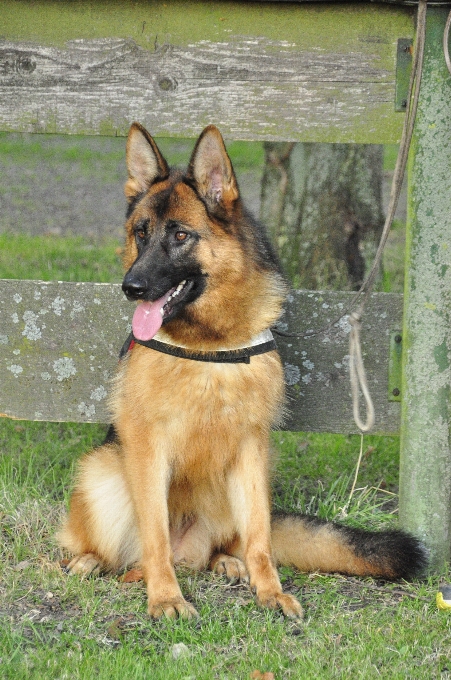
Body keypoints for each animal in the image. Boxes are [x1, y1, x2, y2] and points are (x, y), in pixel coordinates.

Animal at [61, 122, 428, 616]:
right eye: (140, 233)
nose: (130, 287)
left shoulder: (252, 450)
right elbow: (155, 536)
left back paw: (226, 563)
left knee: (221, 546)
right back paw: (93, 562)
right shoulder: (146, 446)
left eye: (180, 236)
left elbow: (259, 537)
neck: (211, 345)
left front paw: (269, 591)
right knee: (123, 550)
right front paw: (166, 597)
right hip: (102, 471)